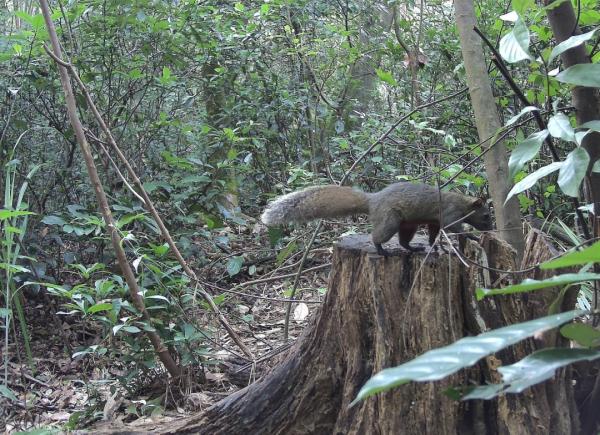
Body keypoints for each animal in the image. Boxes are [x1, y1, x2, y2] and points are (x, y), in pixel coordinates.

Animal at [262, 181, 492, 255]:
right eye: (486, 215)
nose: (490, 229)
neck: (463, 203)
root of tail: (373, 200)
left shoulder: (434, 222)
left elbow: (433, 235)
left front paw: (435, 246)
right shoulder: (449, 214)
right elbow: (455, 228)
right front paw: (472, 237)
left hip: (407, 225)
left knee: (404, 242)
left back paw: (414, 249)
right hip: (390, 221)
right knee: (378, 237)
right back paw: (382, 250)